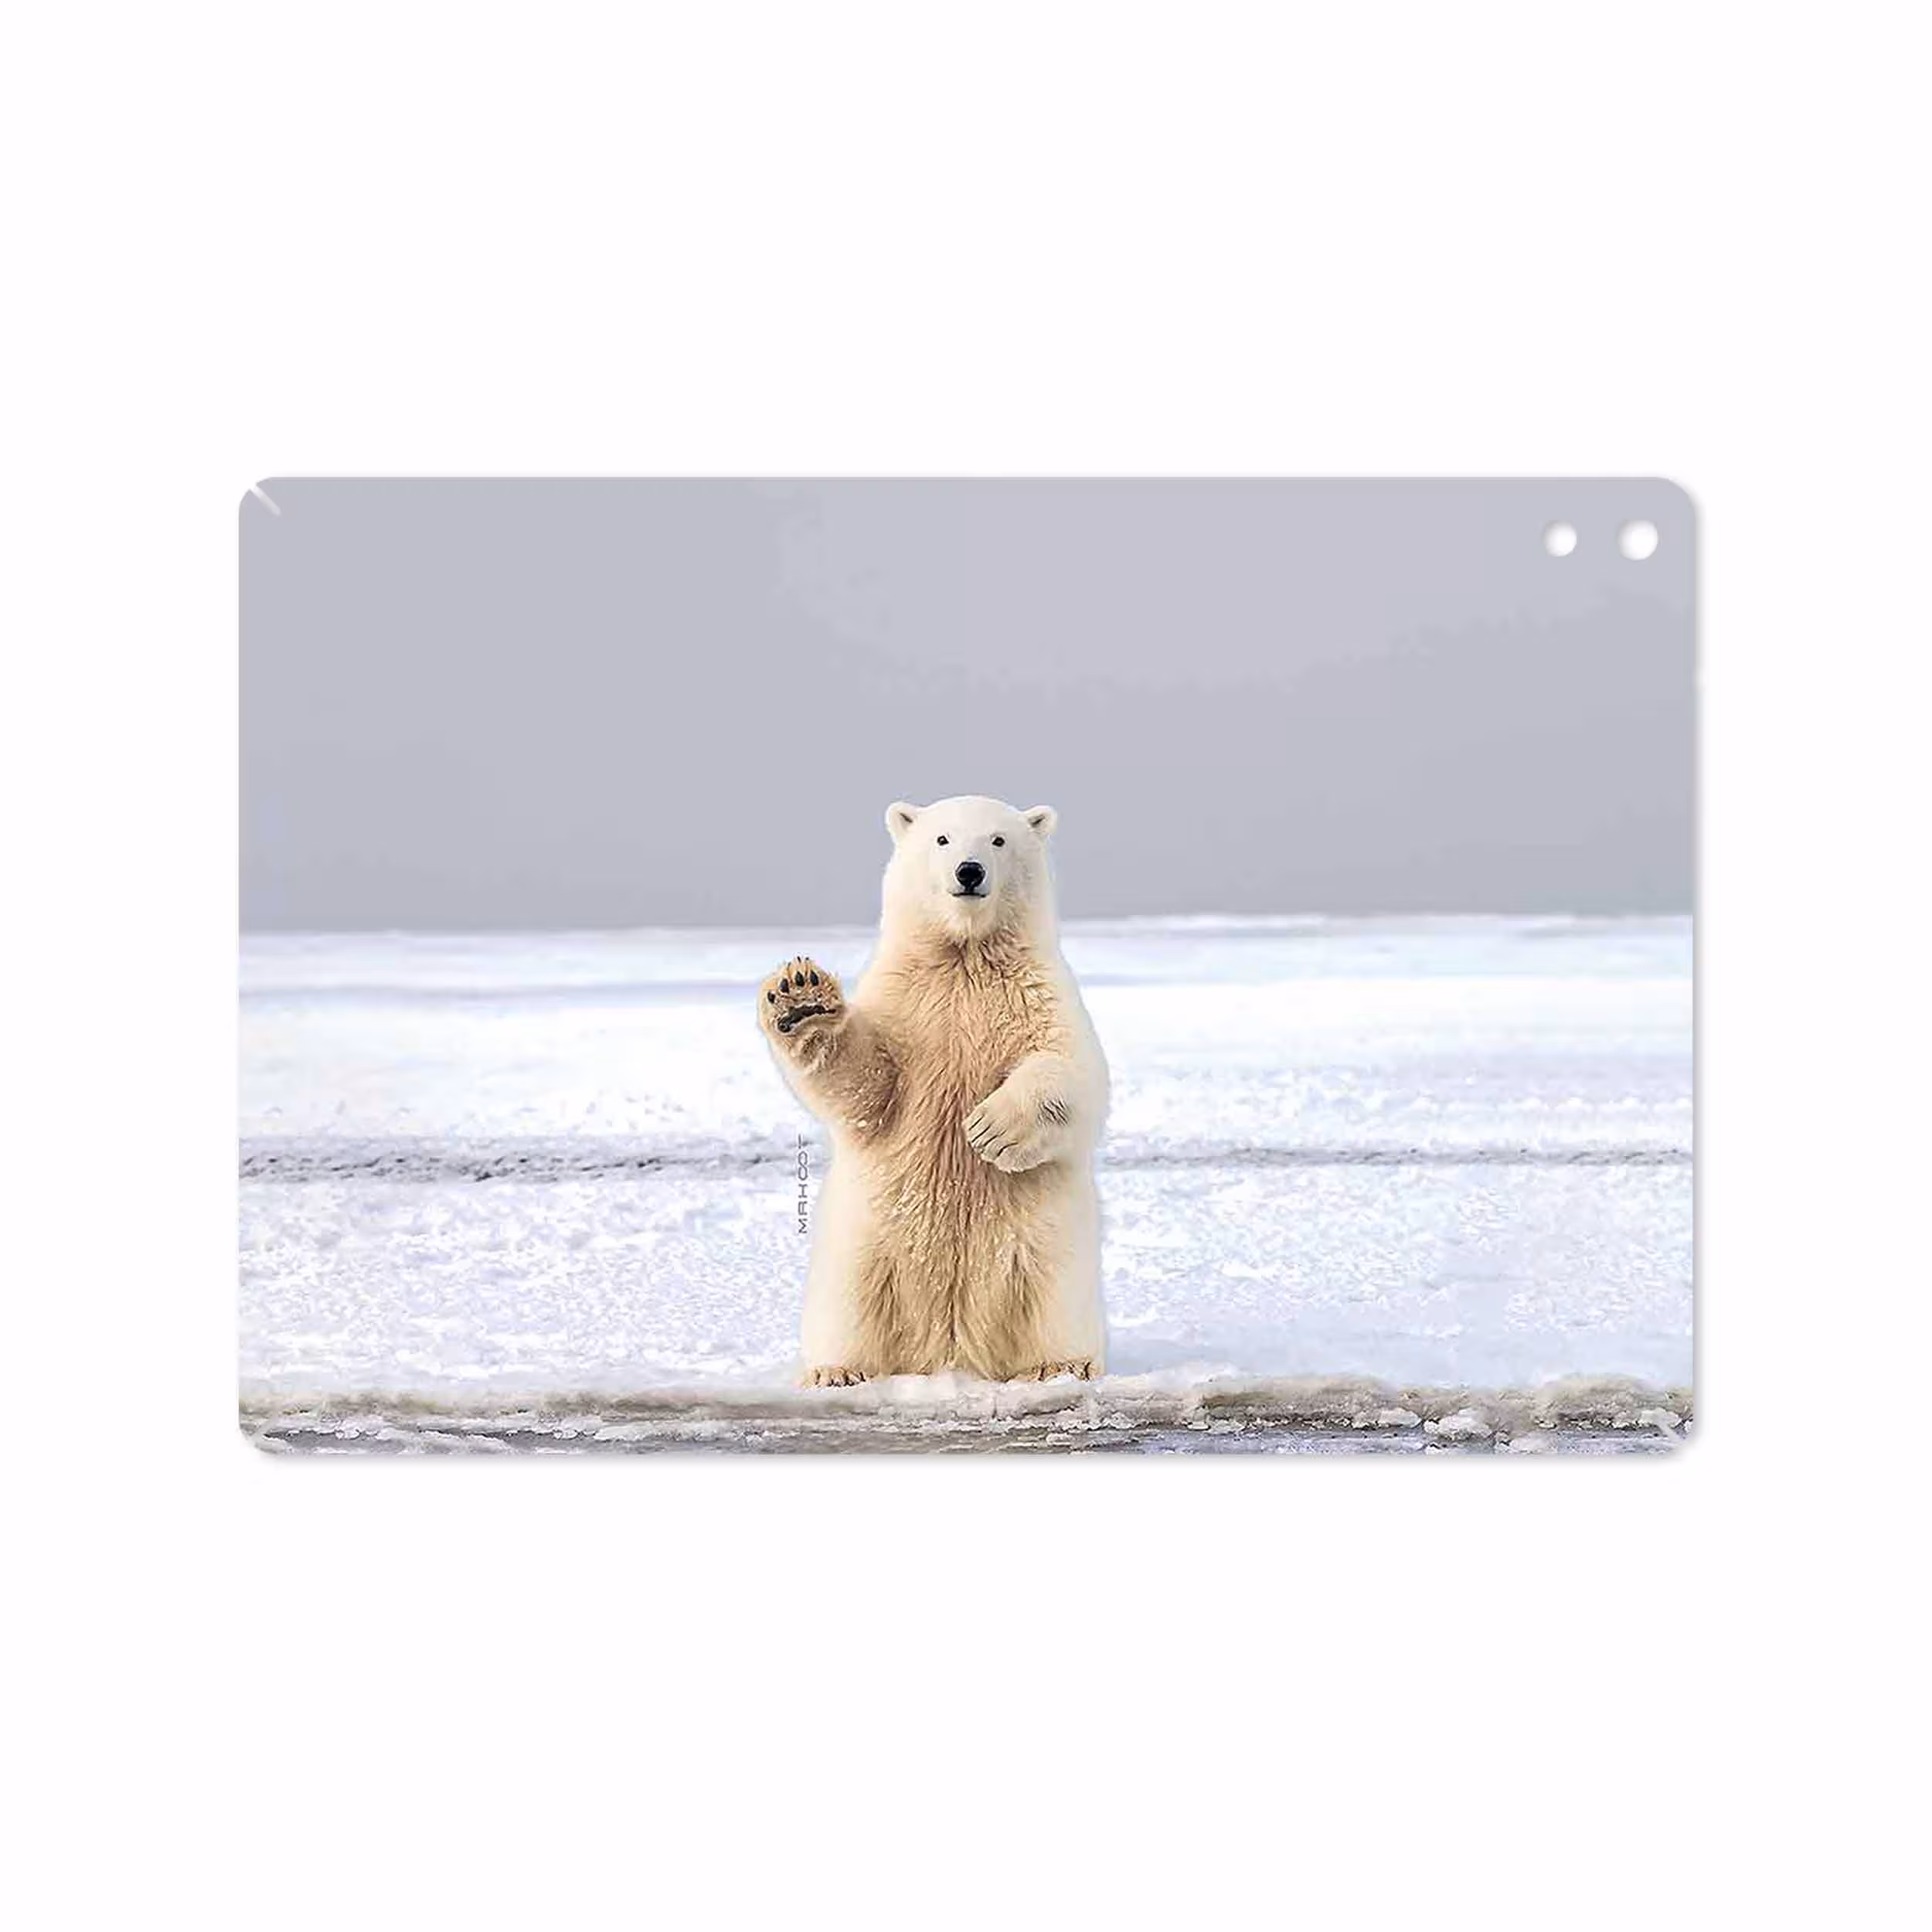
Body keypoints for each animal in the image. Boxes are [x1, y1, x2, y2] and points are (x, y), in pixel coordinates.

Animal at [758, 795, 1109, 1386]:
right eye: (942, 839)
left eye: (998, 840)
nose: (969, 872)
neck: (964, 956)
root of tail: (950, 1351)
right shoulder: (905, 1003)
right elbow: (868, 1085)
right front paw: (800, 999)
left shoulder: (1040, 994)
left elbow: (1074, 1071)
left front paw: (990, 1129)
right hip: (863, 1246)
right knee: (849, 1305)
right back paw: (837, 1371)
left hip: (1049, 1248)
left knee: (1054, 1297)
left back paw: (1061, 1365)